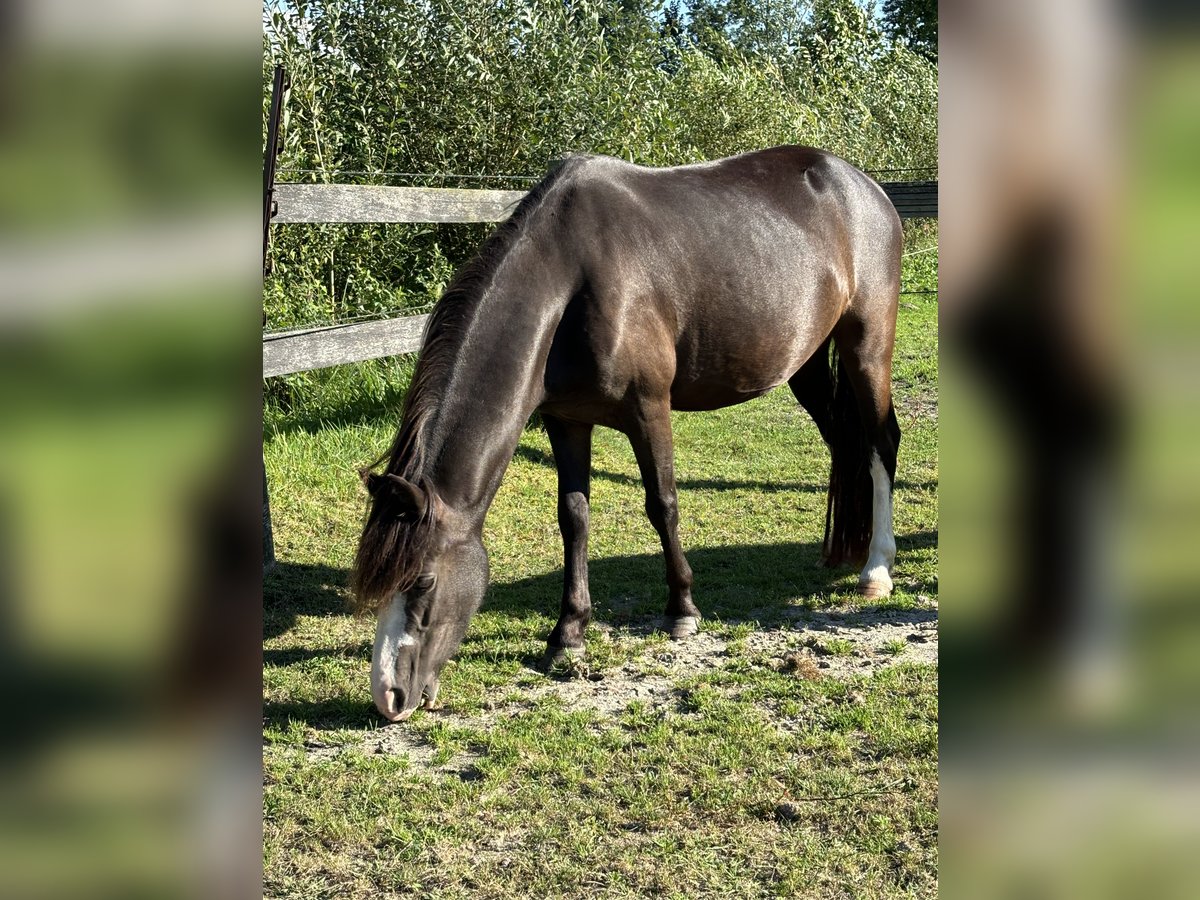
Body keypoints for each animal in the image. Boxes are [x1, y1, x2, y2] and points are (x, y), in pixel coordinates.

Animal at [352, 148, 902, 724]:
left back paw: (876, 568)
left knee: (881, 444)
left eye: (424, 581)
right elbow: (573, 518)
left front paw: (682, 610)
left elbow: (662, 504)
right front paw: (567, 635)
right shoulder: (566, 420)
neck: (570, 282)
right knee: (847, 444)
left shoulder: (648, 409)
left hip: (867, 346)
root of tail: (862, 185)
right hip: (808, 365)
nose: (388, 697)